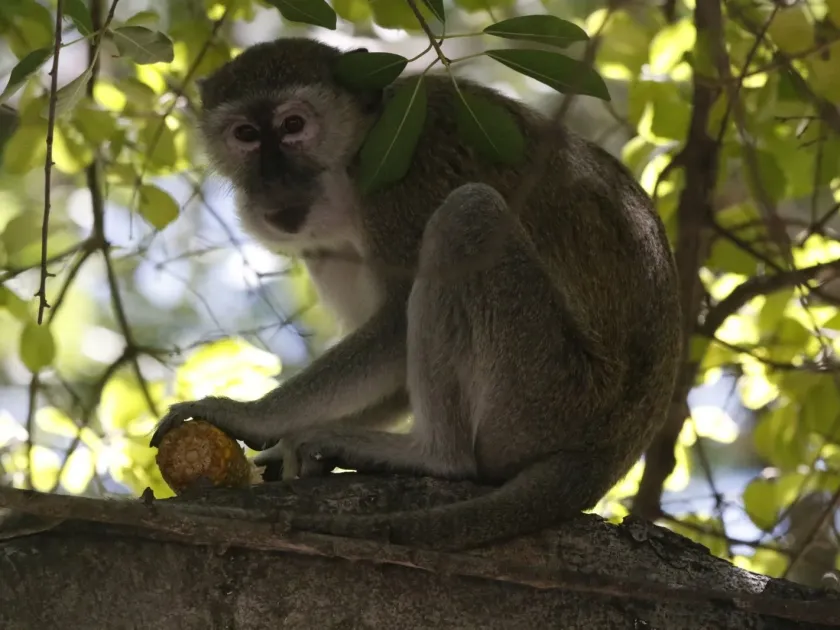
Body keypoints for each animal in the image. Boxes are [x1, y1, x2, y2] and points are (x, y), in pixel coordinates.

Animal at [150, 37, 682, 552]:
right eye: (245, 134)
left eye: (293, 125)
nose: (271, 179)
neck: (353, 159)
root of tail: (608, 453)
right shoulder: (325, 246)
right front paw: (284, 445)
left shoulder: (399, 182)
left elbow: (394, 327)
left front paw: (251, 417)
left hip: (547, 397)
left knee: (468, 215)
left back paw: (436, 456)